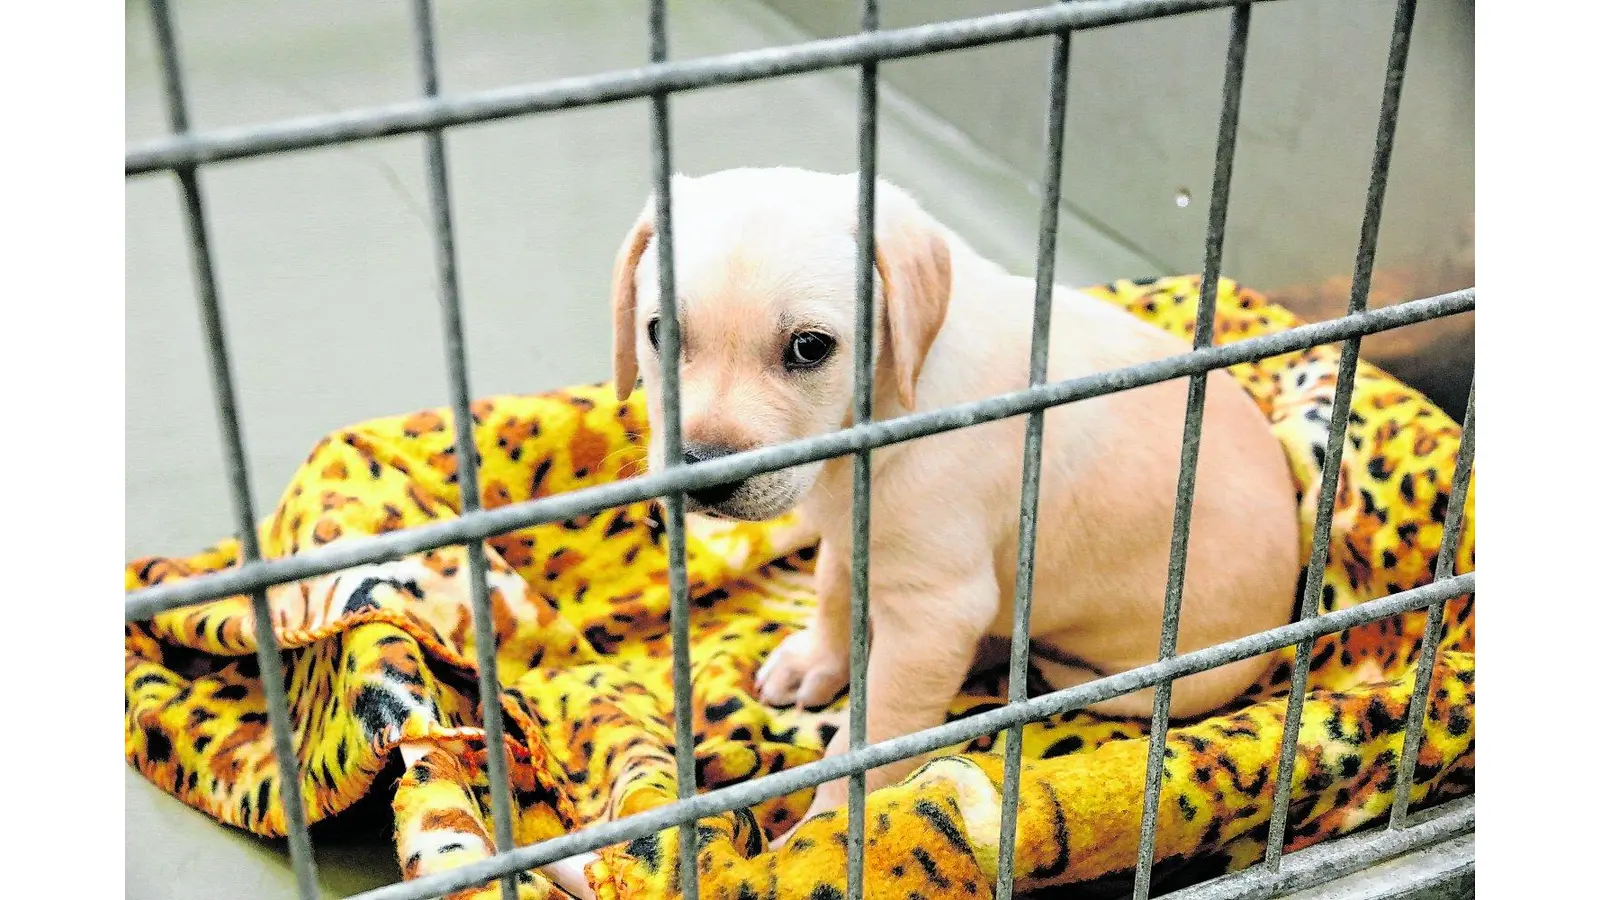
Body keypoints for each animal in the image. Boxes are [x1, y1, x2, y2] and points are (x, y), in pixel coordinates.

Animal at [608, 166, 1299, 832]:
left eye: (810, 347)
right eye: (660, 333)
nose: (703, 474)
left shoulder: (934, 613)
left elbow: (873, 737)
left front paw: (824, 833)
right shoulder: (852, 535)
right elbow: (833, 587)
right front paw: (818, 660)